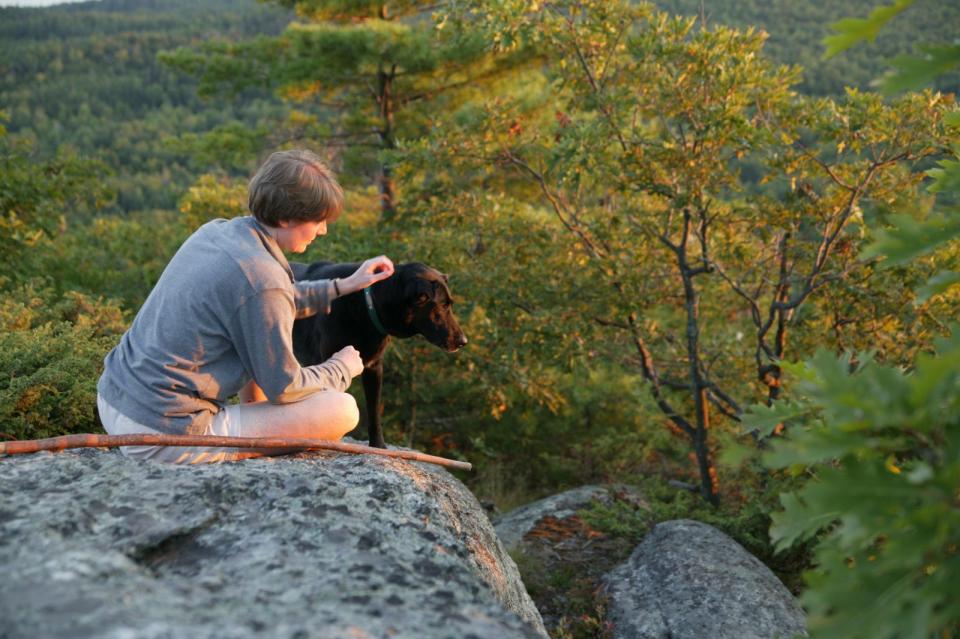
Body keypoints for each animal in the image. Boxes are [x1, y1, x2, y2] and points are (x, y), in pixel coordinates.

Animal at [290, 262, 466, 448]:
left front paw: (378, 445)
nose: (463, 341)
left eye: (450, 304)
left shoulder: (374, 368)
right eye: (443, 305)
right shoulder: (326, 363)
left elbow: (374, 411)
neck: (367, 307)